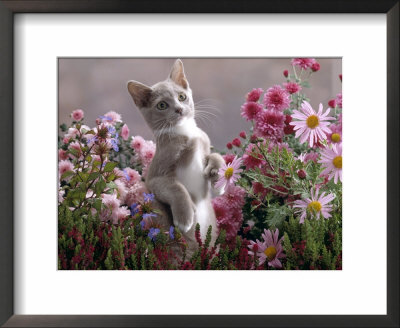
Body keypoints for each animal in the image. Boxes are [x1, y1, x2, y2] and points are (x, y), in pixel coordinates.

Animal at [128, 58, 225, 254]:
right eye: (162, 105)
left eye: (181, 97)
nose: (180, 109)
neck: (186, 134)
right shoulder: (156, 177)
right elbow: (176, 187)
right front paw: (184, 218)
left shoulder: (204, 144)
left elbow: (215, 156)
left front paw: (217, 179)